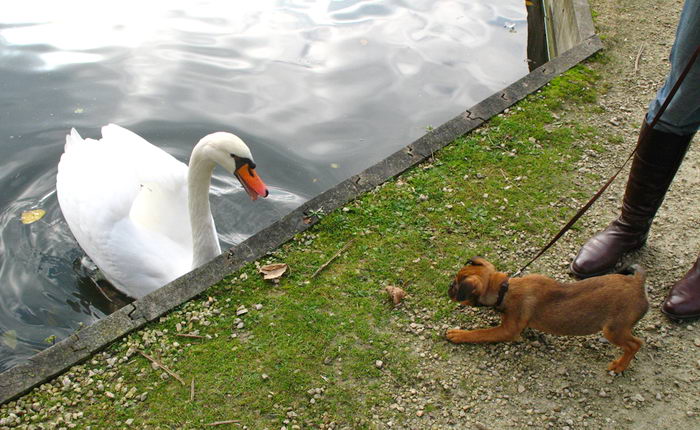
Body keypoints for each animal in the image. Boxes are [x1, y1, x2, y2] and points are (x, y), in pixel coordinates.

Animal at [446, 256, 648, 372]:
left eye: (456, 285)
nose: (449, 287)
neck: (505, 289)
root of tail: (638, 284)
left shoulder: (508, 331)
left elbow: (480, 333)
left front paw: (458, 334)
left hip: (613, 330)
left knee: (635, 344)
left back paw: (619, 365)